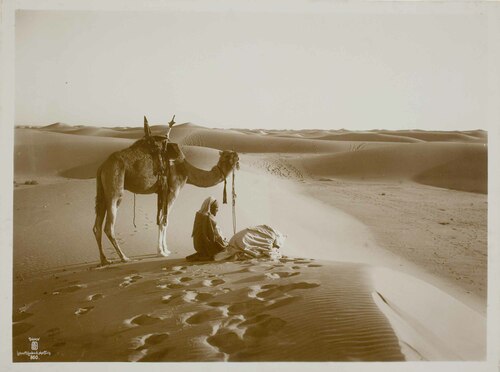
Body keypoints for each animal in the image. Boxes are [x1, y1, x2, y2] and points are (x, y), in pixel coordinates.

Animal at [93, 116, 239, 264]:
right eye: (228, 156)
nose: (237, 156)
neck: (186, 170)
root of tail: (102, 166)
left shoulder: (162, 193)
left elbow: (161, 219)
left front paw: (164, 249)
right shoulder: (173, 190)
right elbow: (165, 221)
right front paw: (162, 252)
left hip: (102, 190)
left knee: (97, 226)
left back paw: (104, 259)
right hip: (115, 185)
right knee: (109, 225)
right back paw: (124, 257)